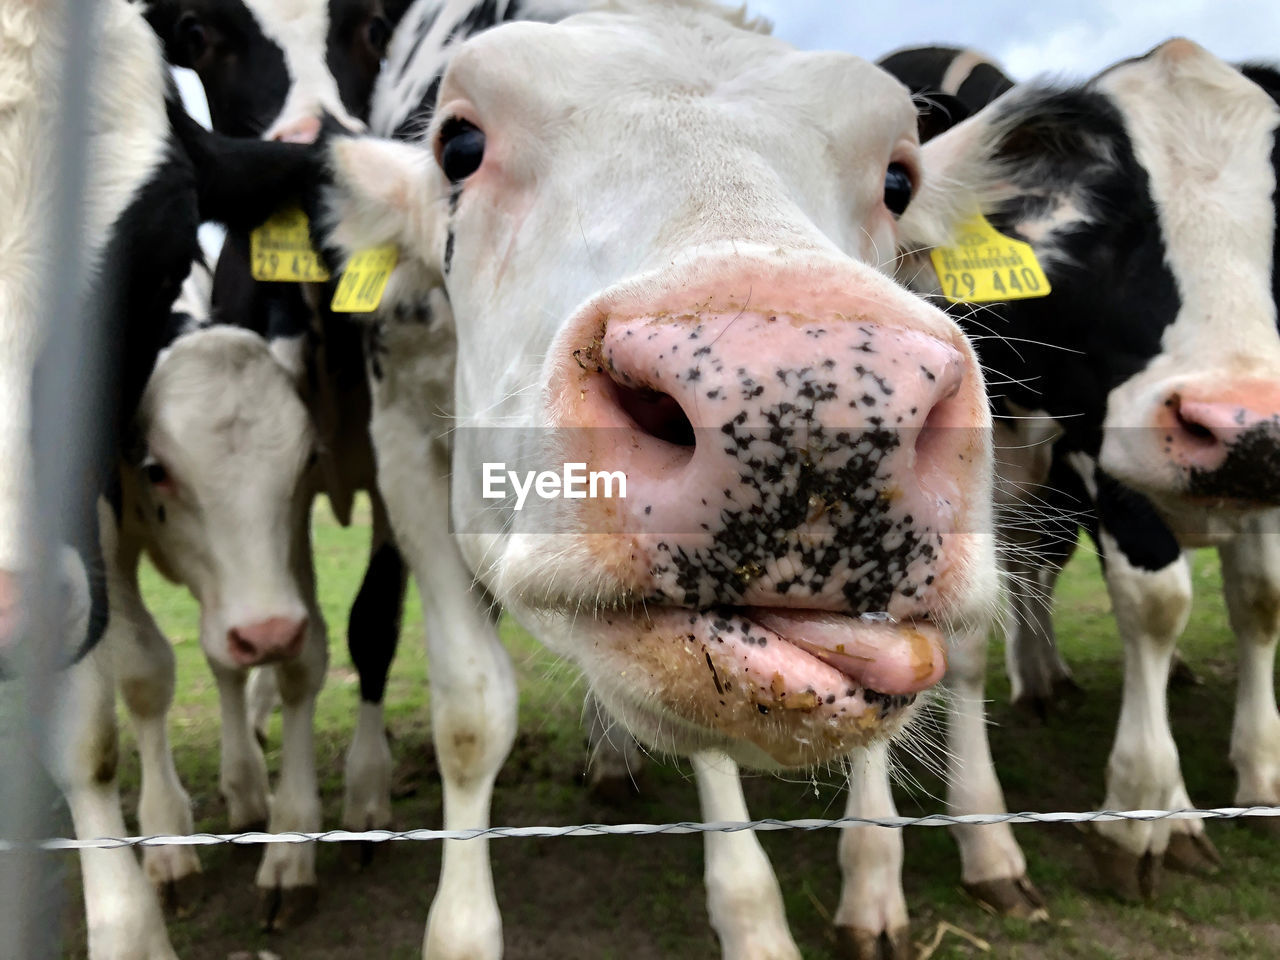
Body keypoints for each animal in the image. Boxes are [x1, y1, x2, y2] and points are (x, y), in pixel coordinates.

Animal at [309, 1, 998, 957]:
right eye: (459, 146)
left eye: (898, 181)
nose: (797, 407)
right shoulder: (404, 445)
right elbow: (471, 714)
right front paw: (461, 929)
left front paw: (754, 917)